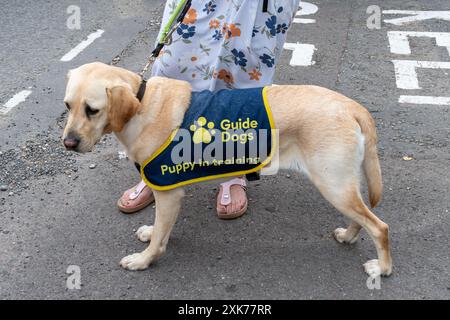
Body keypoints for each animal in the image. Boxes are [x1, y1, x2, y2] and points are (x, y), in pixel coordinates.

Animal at [62, 62, 390, 278]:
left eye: (93, 110)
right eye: (67, 106)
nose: (68, 143)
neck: (141, 104)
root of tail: (352, 106)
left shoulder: (169, 194)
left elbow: (158, 242)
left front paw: (143, 260)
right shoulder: (164, 190)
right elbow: (160, 229)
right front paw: (152, 232)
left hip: (332, 184)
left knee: (379, 226)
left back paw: (383, 268)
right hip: (342, 185)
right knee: (363, 217)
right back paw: (348, 236)